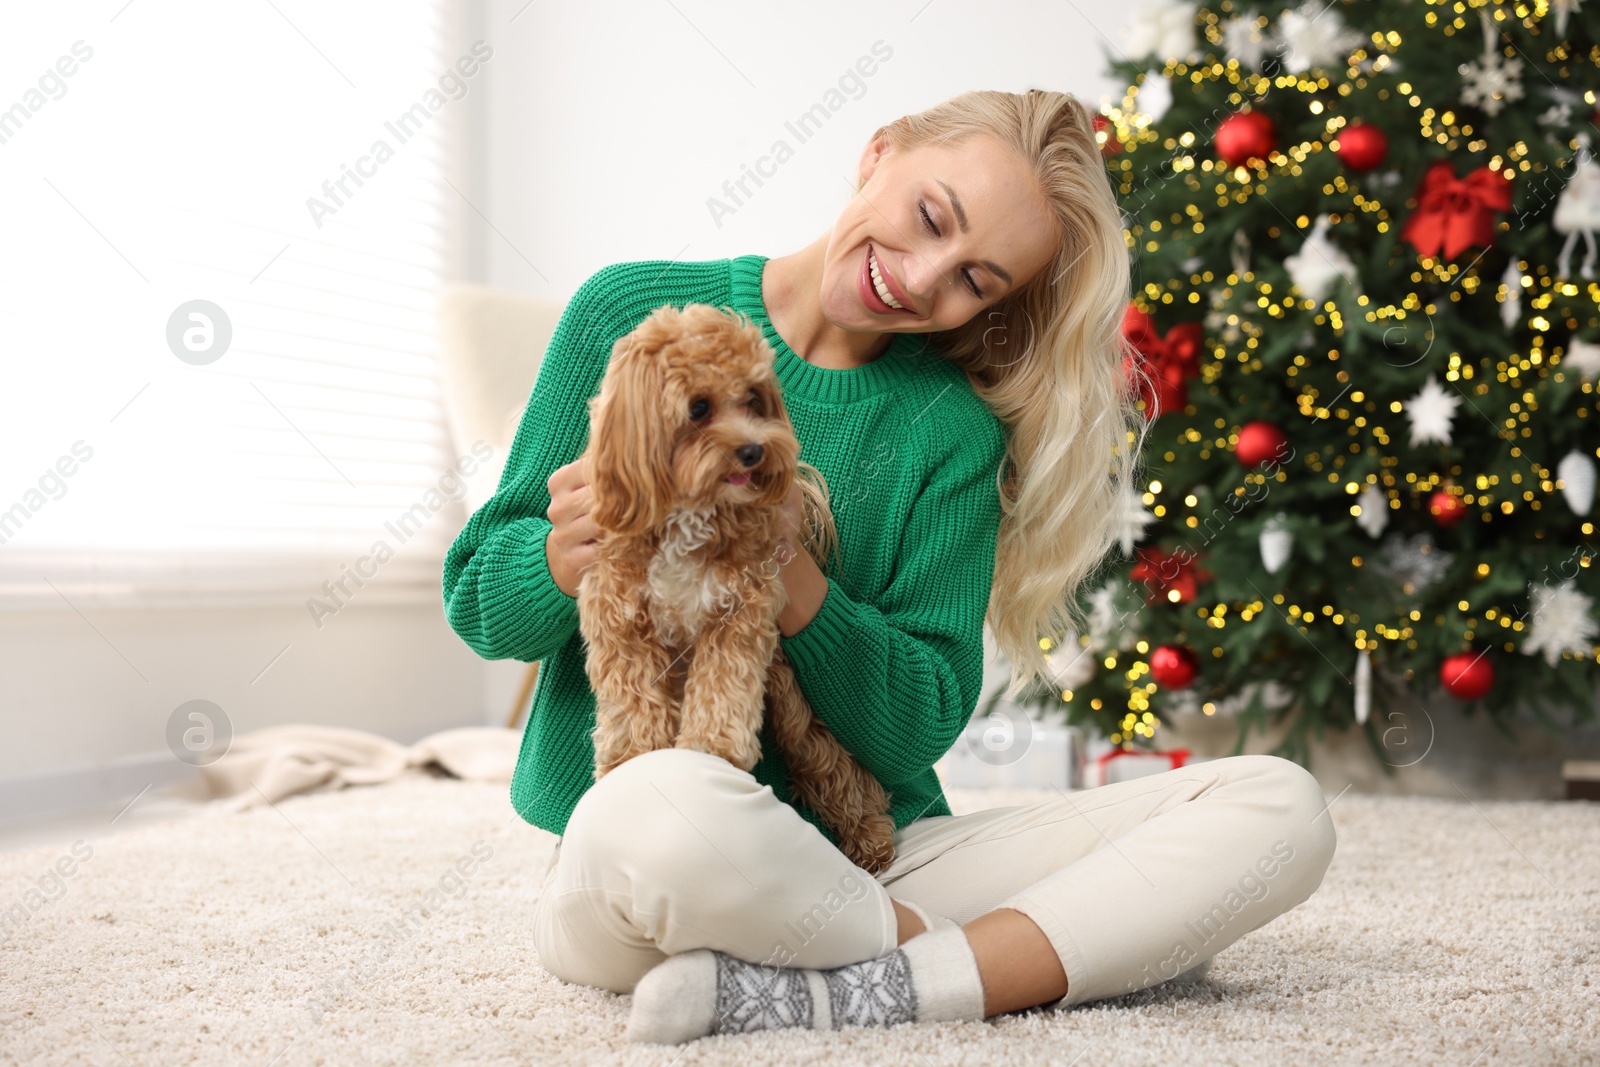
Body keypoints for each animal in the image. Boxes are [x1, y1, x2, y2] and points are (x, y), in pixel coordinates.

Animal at [579, 300, 902, 876]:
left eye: (753, 398)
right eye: (698, 407)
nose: (755, 450)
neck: (690, 510)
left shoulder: (738, 614)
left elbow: (722, 691)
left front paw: (710, 753)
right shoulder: (620, 620)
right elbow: (632, 705)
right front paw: (633, 762)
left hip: (793, 698)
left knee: (835, 767)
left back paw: (871, 842)